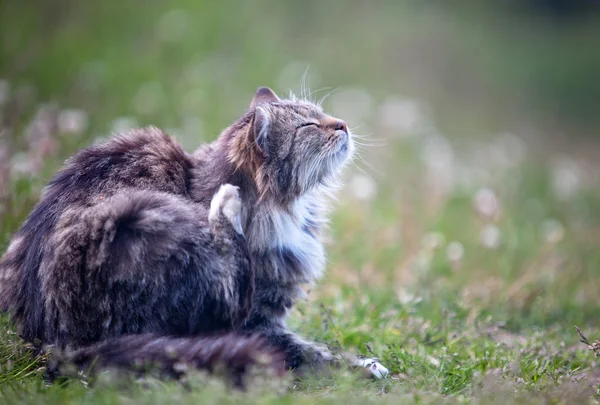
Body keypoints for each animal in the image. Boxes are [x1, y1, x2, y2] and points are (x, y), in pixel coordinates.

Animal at [0, 87, 354, 384]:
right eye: (309, 125)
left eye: (320, 113)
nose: (343, 124)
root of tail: (51, 343)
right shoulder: (259, 323)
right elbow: (313, 354)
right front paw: (356, 367)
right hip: (138, 215)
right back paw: (225, 210)